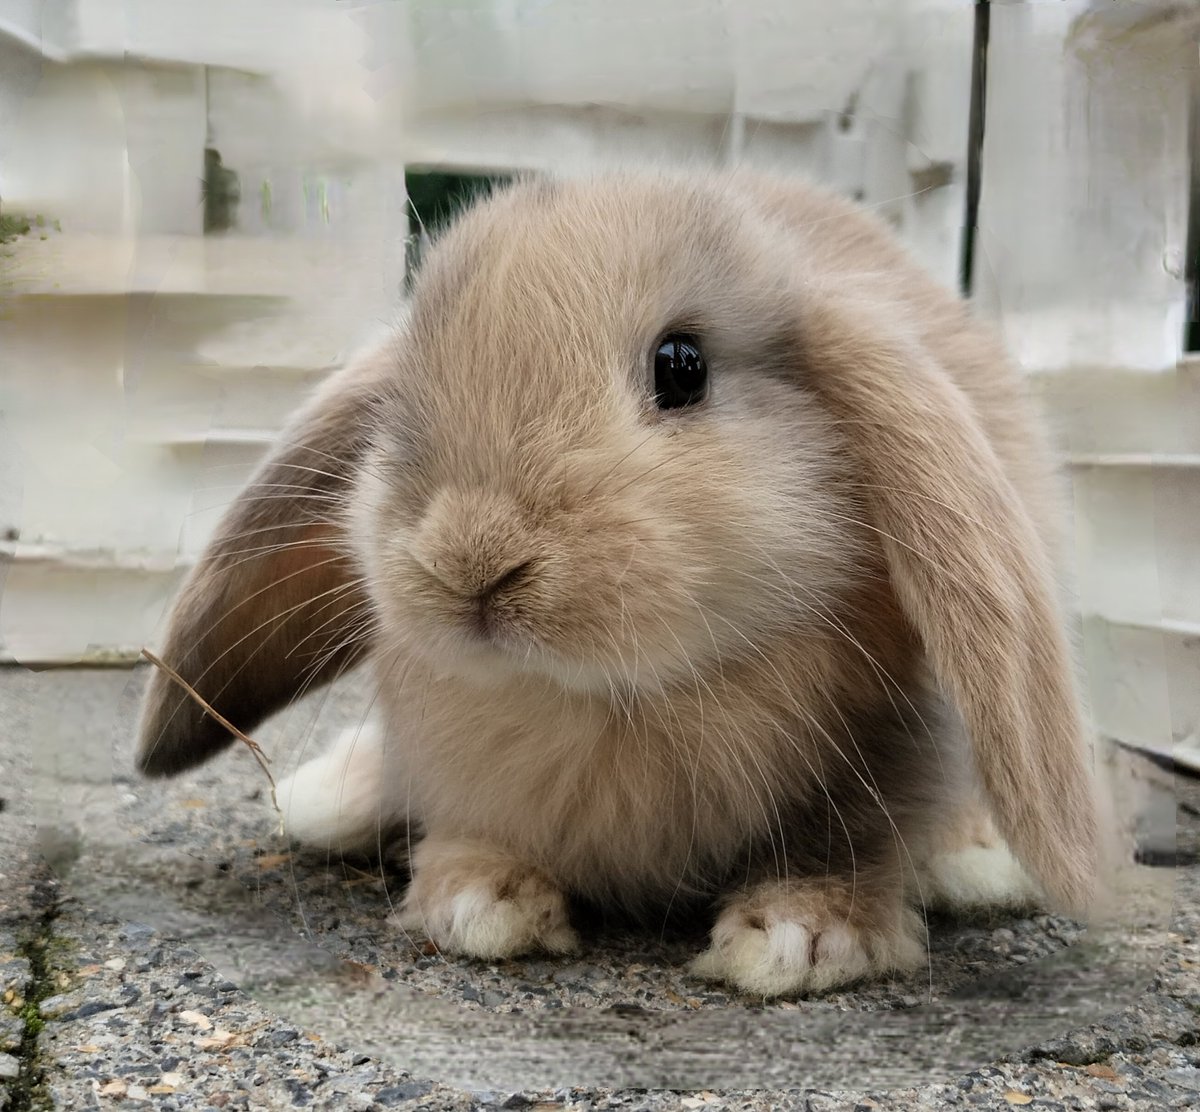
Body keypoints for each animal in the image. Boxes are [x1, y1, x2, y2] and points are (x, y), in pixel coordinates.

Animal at [135, 168, 1099, 997]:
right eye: (402, 394)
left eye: (682, 366)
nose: (470, 558)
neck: (612, 699)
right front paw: (477, 902)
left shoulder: (887, 755)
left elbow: (845, 847)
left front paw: (801, 938)